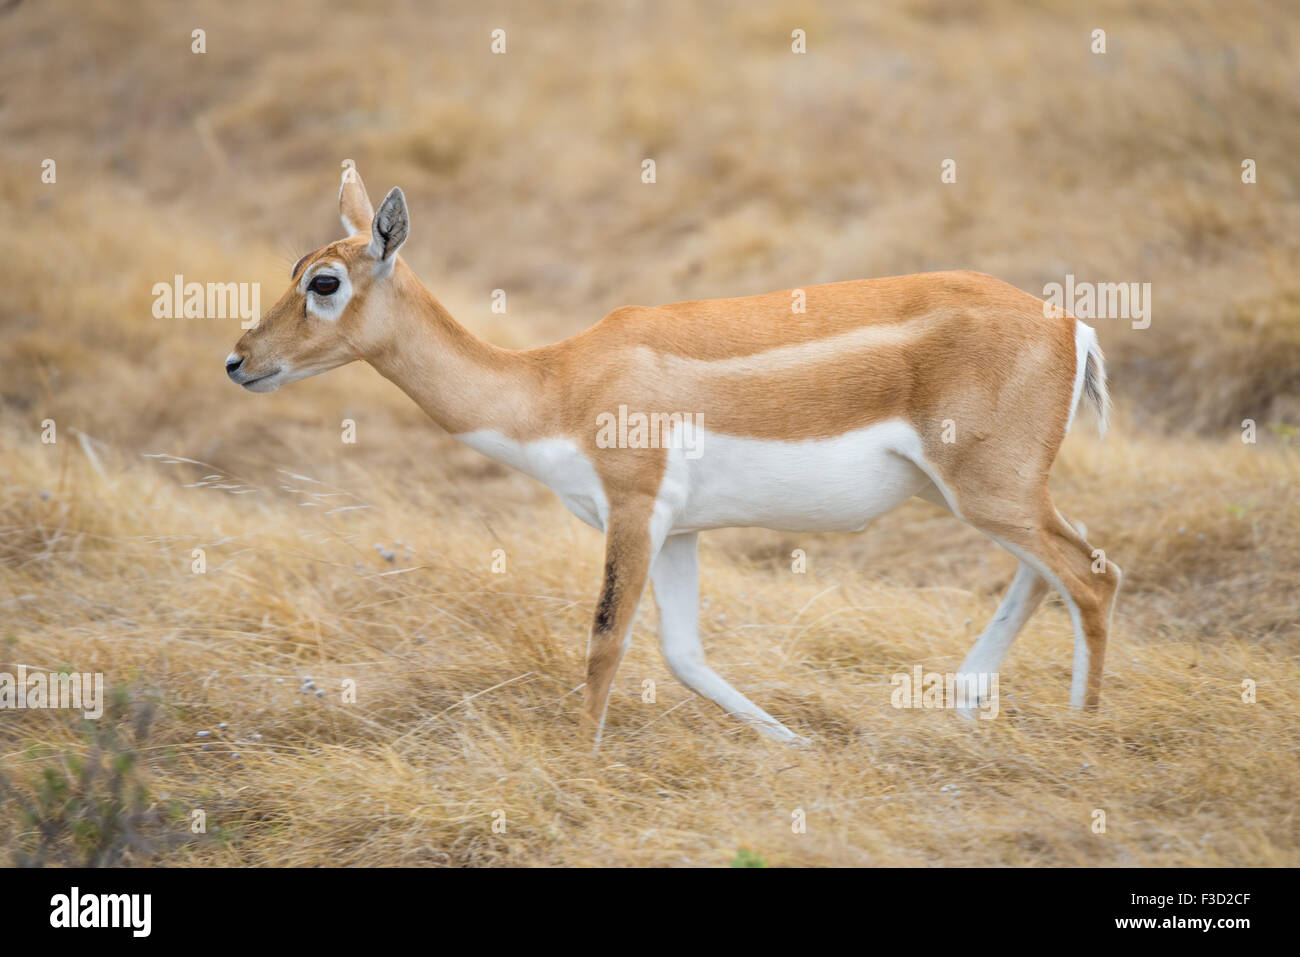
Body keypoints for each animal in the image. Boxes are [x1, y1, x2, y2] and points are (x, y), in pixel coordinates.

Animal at [223, 167, 1118, 743]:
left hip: (987, 491)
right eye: (295, 268)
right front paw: (793, 743)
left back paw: (1081, 728)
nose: (238, 360)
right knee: (1054, 567)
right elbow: (683, 654)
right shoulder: (680, 530)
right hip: (967, 494)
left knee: (1090, 574)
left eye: (326, 282)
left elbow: (605, 641)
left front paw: (579, 765)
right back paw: (966, 705)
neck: (556, 383)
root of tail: (1069, 325)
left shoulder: (634, 509)